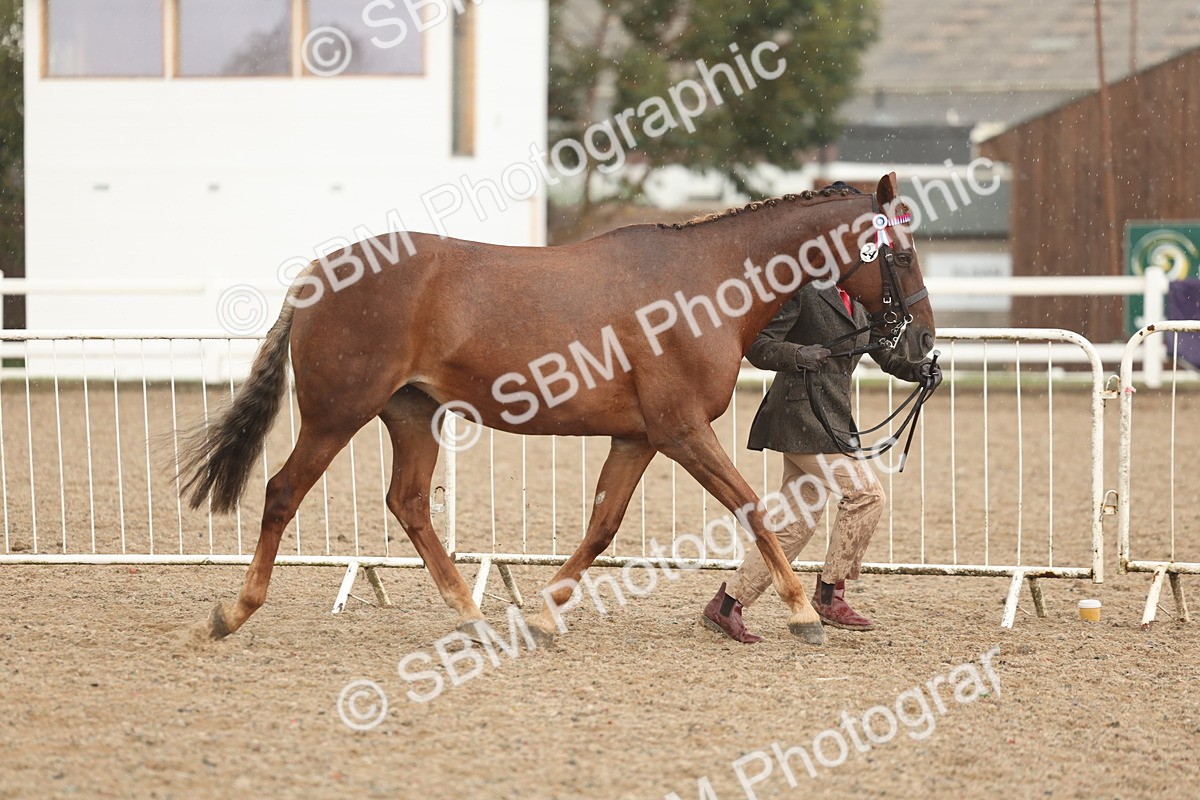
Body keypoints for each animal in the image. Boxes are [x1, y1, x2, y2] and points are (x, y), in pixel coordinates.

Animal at [178, 172, 935, 646]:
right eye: (899, 253)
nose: (923, 345)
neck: (704, 286)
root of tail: (317, 274)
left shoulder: (639, 438)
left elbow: (602, 527)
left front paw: (542, 618)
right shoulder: (682, 430)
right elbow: (750, 507)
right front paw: (805, 614)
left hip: (413, 414)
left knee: (410, 503)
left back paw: (474, 618)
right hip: (338, 414)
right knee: (283, 492)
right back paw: (232, 613)